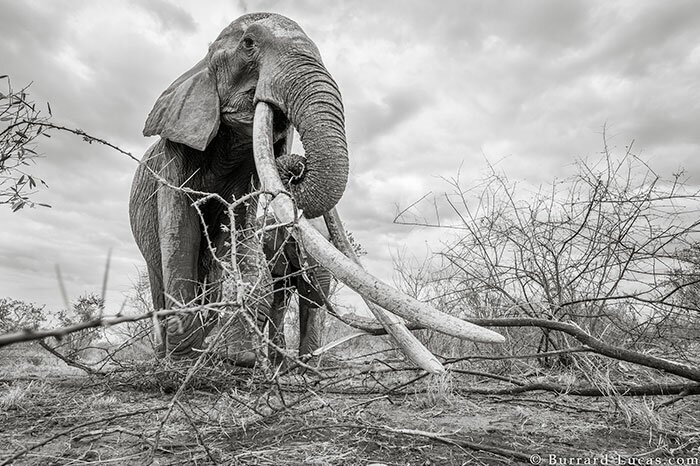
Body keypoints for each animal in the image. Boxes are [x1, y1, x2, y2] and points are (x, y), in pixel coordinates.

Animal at [130, 11, 504, 372]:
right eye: (248, 44)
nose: (296, 168)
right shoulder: (173, 150)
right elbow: (181, 232)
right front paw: (186, 361)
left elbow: (242, 231)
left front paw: (241, 359)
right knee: (161, 264)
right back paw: (171, 355)